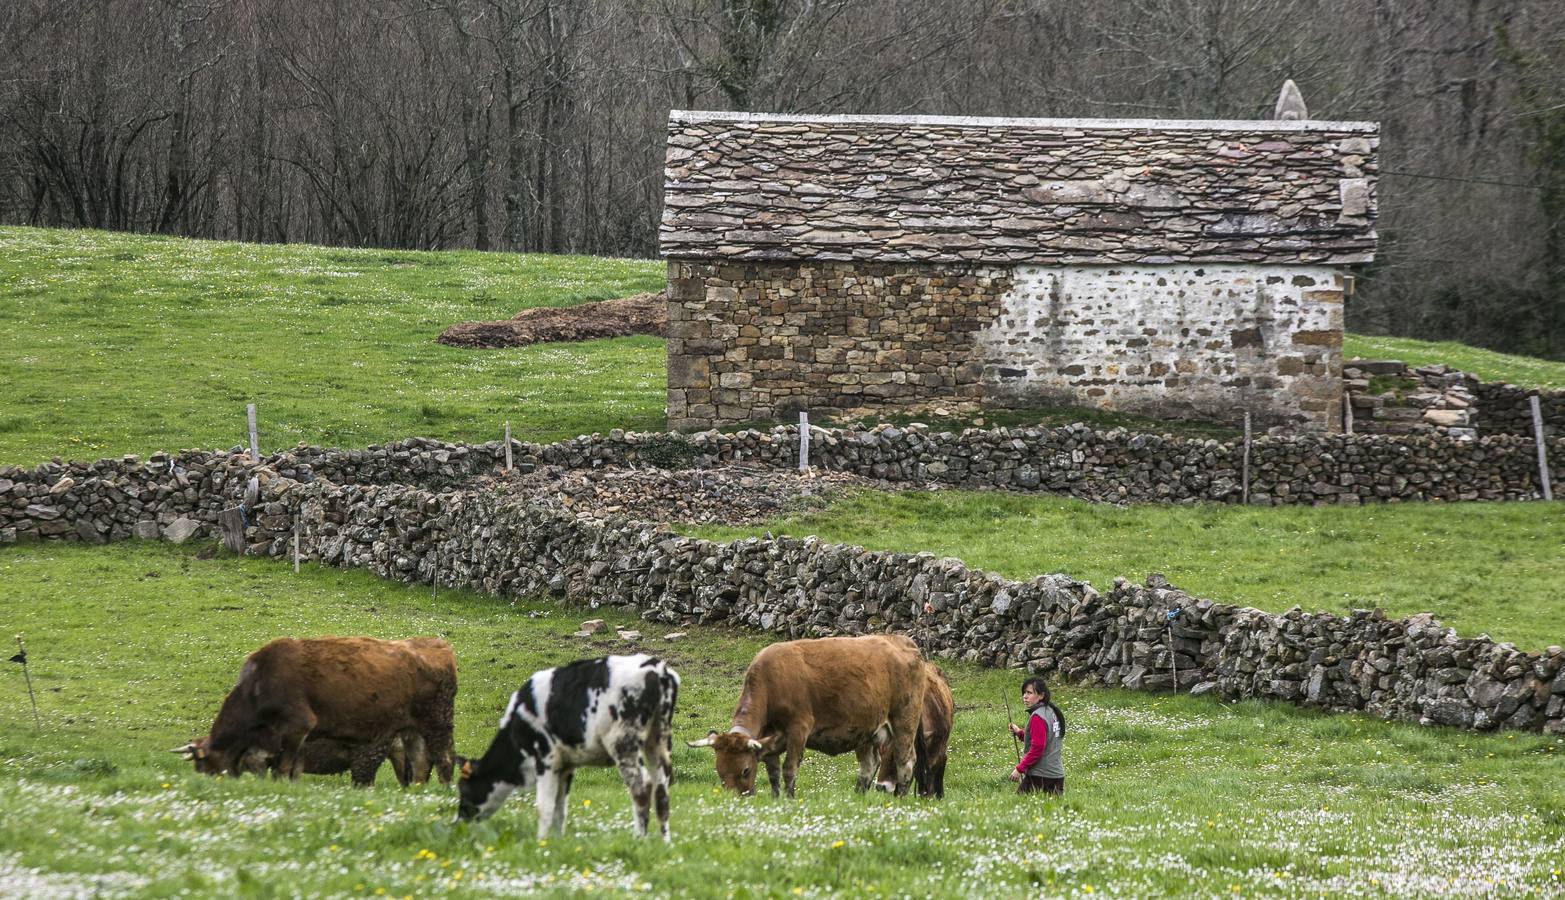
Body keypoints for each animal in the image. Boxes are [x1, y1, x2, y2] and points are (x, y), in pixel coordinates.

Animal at [179, 632, 456, 788]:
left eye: (202, 765)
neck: (258, 686)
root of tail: (437, 645)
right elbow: (289, 769)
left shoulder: (297, 727)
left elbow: (283, 768)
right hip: (411, 729)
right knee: (421, 765)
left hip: (436, 723)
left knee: (444, 760)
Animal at [450, 651, 676, 838]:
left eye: (464, 789)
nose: (458, 823)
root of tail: (656, 668)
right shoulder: (565, 766)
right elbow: (560, 808)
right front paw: (557, 840)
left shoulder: (546, 759)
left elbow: (544, 806)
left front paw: (540, 842)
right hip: (658, 741)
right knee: (661, 793)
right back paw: (663, 842)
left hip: (623, 744)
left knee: (641, 787)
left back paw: (639, 839)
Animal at [688, 629, 926, 798]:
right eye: (719, 770)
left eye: (745, 770)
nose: (736, 799)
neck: (771, 683)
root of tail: (901, 641)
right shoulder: (769, 739)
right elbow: (773, 773)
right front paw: (776, 799)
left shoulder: (798, 729)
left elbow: (789, 769)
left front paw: (789, 799)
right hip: (865, 730)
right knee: (868, 766)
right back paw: (857, 798)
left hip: (904, 723)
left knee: (905, 761)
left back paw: (900, 798)